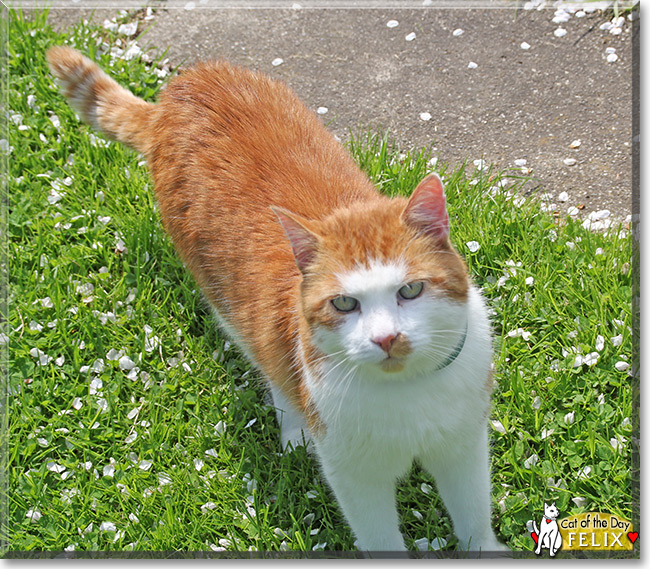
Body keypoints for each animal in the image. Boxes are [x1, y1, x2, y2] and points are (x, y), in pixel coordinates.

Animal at [49, 45, 506, 556]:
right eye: (344, 305)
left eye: (410, 290)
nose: (387, 339)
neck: (408, 393)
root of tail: (178, 91)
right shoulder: (355, 474)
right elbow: (378, 533)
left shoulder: (463, 446)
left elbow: (472, 512)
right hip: (228, 305)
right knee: (268, 365)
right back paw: (292, 428)